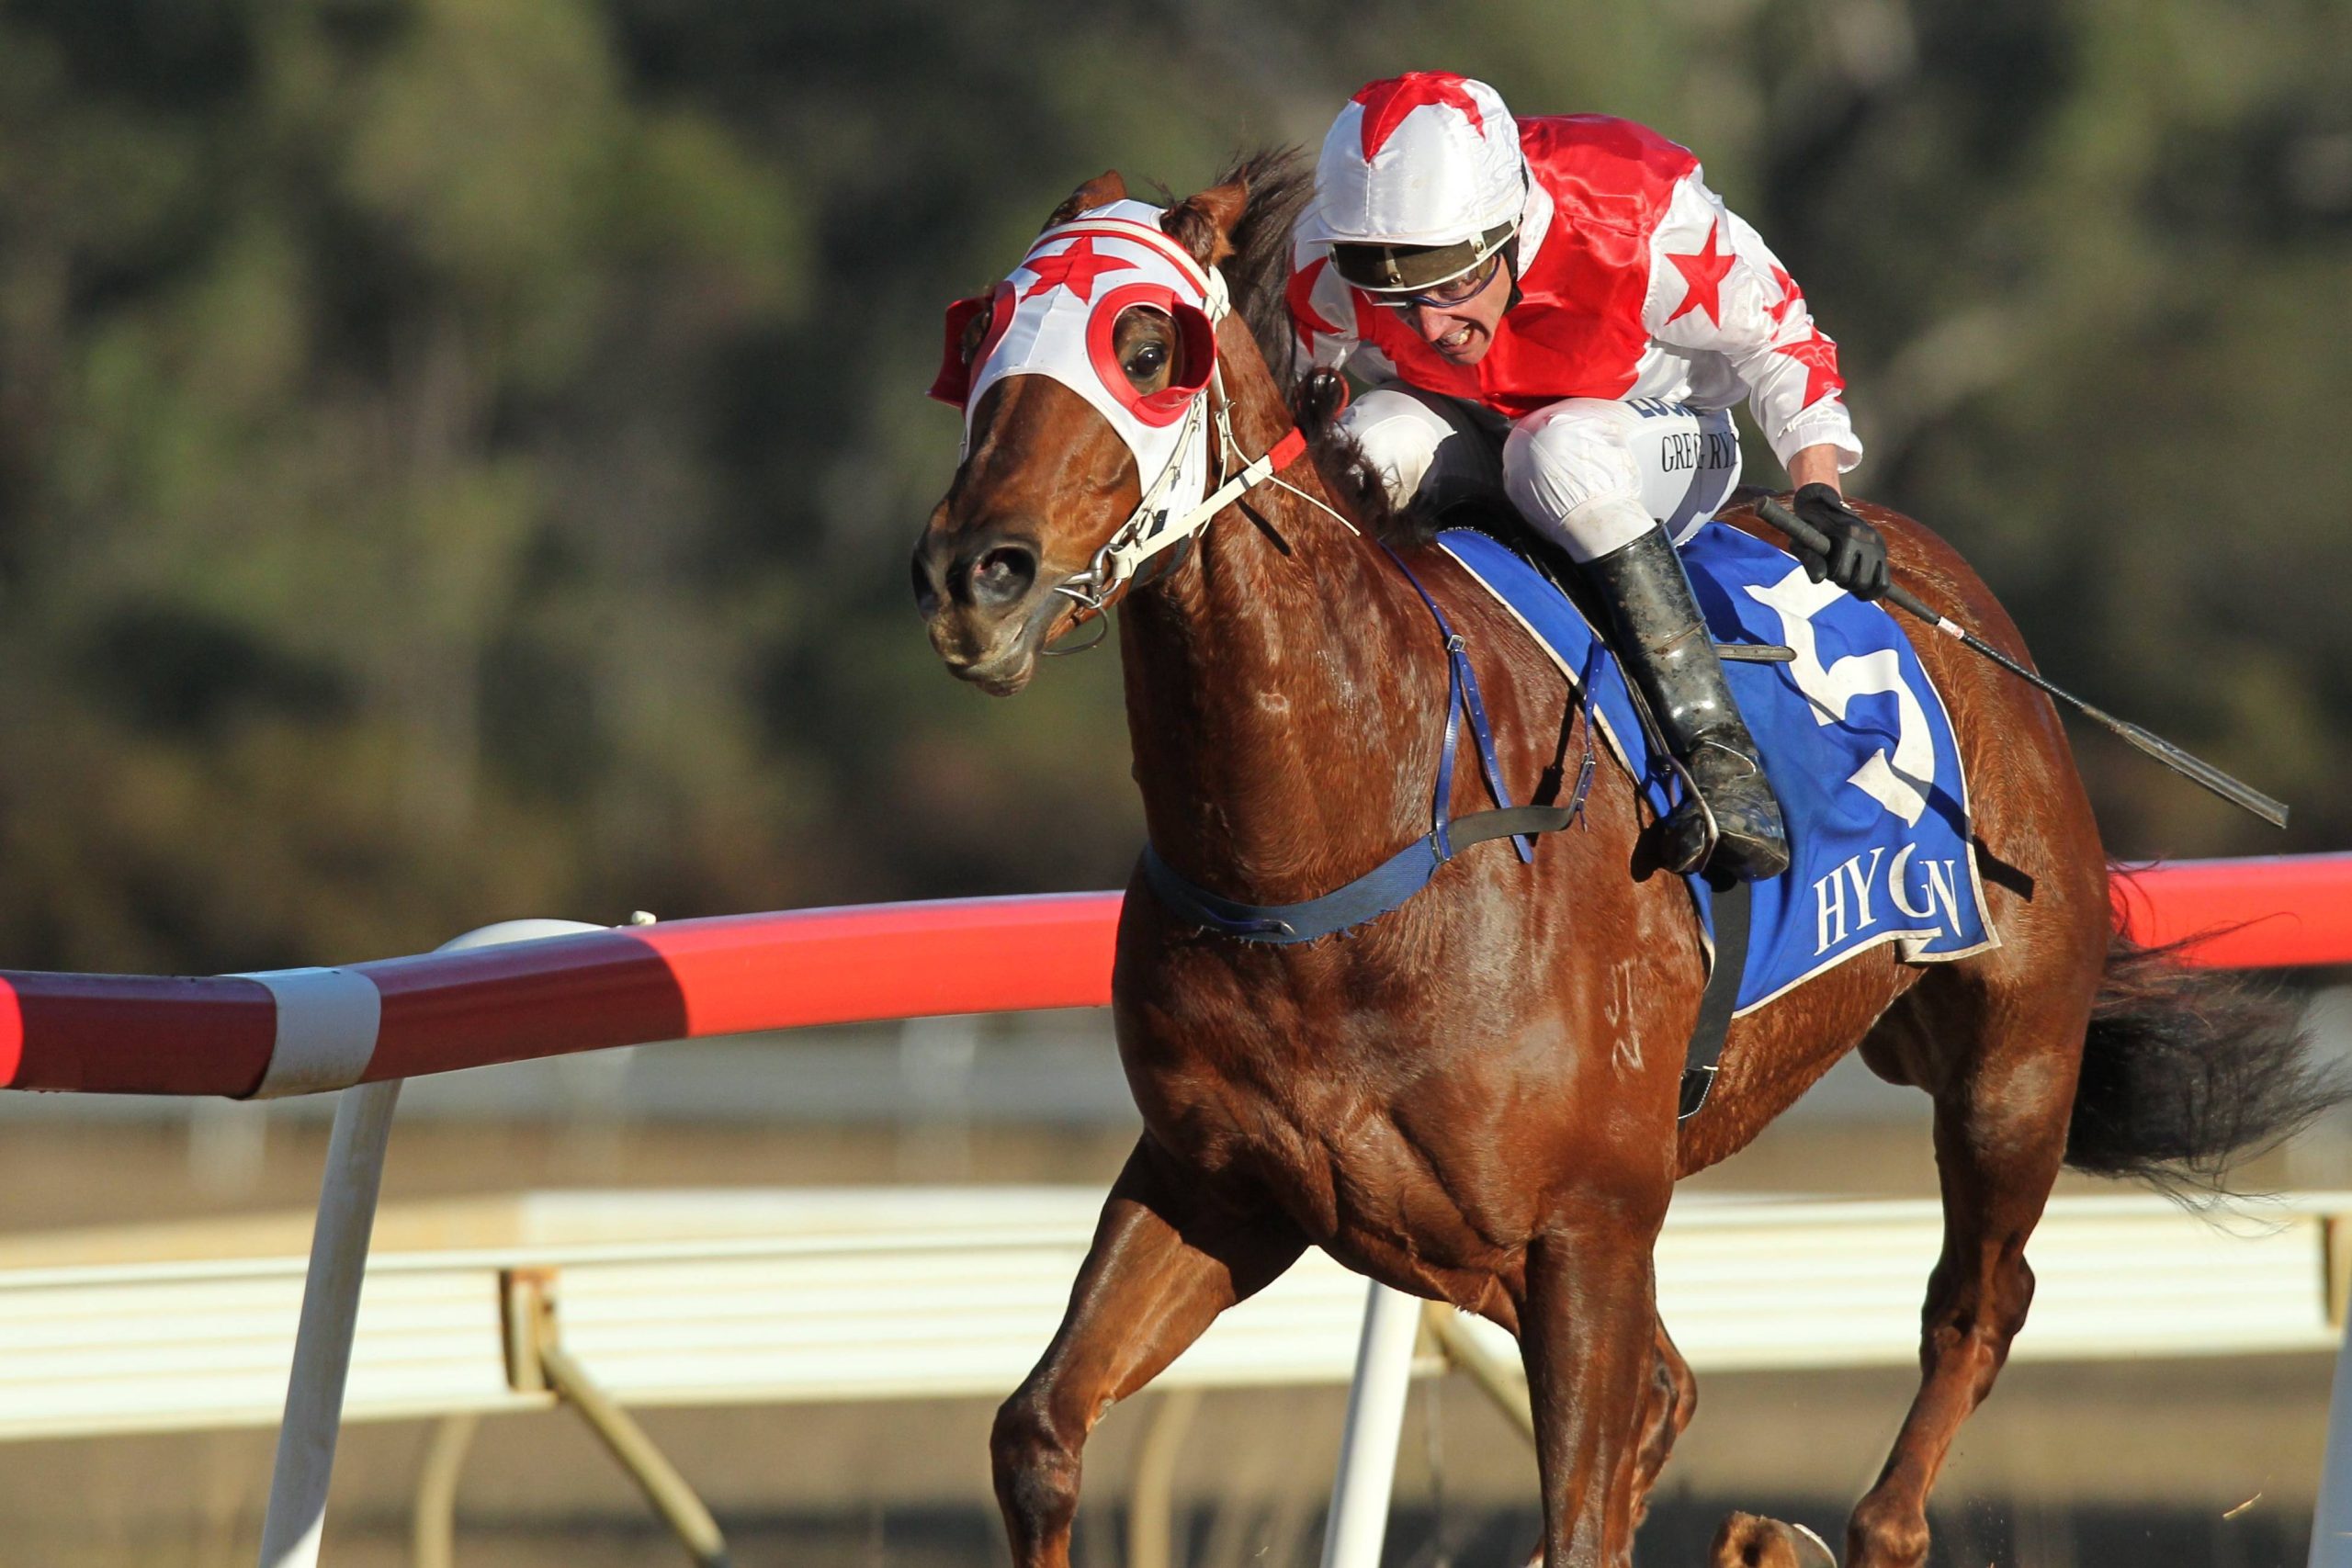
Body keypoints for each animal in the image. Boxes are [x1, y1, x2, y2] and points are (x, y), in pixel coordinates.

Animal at [909, 149, 2337, 1568]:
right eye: (976, 338)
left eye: (1147, 343)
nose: (974, 575)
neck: (1342, 846)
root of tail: (1960, 597)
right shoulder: (1223, 1183)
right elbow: (1038, 1431)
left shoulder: (1587, 1228)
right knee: (1679, 1380)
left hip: (2011, 1064)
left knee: (1971, 1309)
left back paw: (1869, 1523)